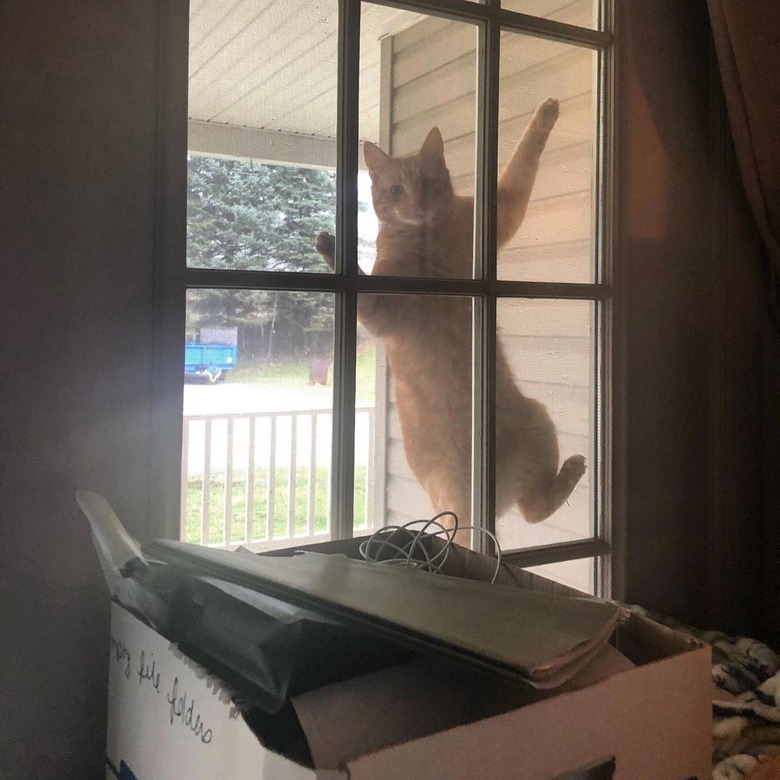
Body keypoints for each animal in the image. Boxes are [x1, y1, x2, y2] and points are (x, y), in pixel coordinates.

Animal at [316, 99, 584, 532]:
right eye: (396, 189)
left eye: (427, 183)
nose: (416, 204)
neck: (427, 242)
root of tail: (482, 504)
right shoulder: (384, 314)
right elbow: (366, 297)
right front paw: (334, 250)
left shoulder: (500, 212)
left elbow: (522, 158)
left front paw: (546, 113)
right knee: (532, 513)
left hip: (538, 420)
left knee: (534, 510)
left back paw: (572, 470)